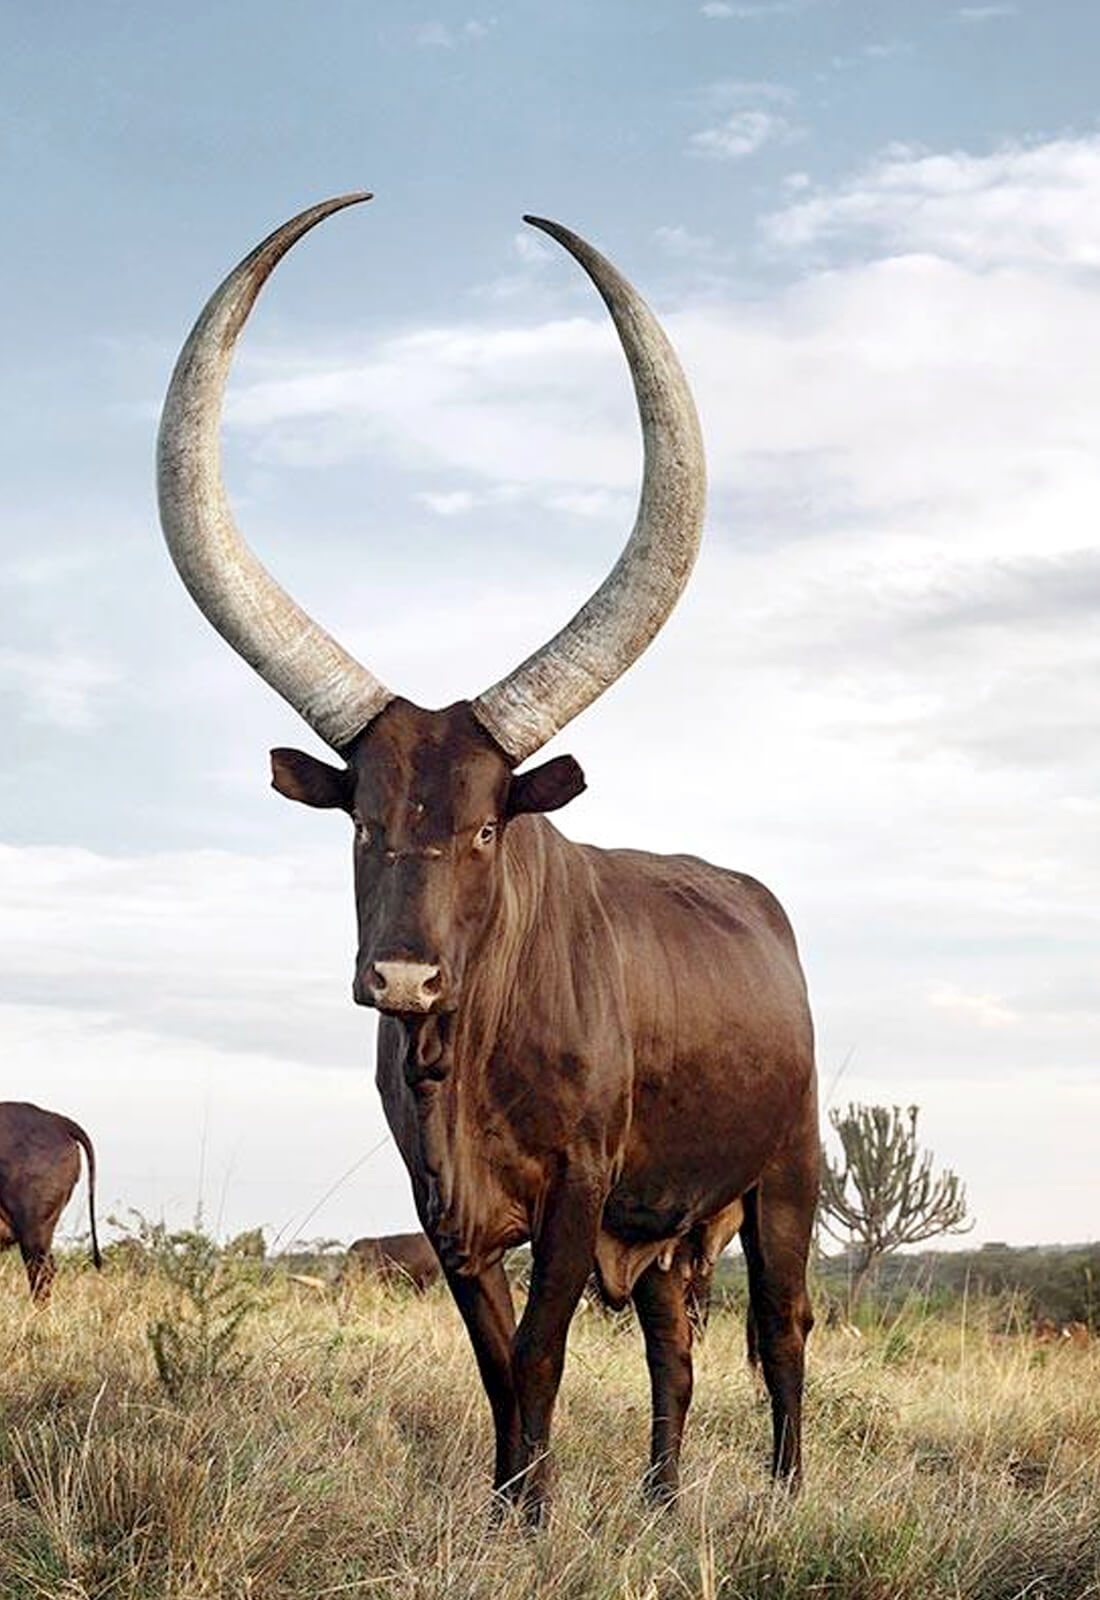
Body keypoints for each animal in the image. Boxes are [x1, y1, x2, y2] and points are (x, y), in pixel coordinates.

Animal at [159, 193, 818, 1516]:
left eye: (479, 827)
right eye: (361, 822)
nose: (402, 978)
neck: (463, 1053)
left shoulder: (577, 1189)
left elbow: (545, 1348)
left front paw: (533, 1519)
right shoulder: (441, 1206)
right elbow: (497, 1365)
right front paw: (517, 1502)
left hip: (786, 1178)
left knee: (779, 1334)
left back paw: (779, 1496)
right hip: (666, 1222)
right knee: (674, 1341)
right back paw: (660, 1502)